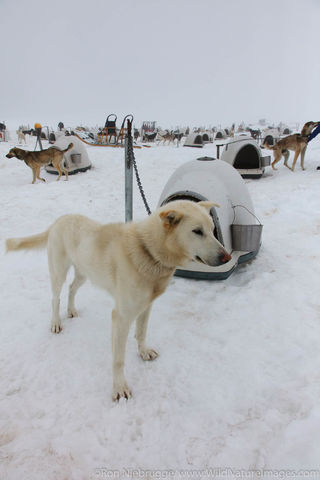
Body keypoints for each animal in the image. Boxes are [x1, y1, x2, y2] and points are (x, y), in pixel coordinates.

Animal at [6, 201, 231, 400]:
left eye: (213, 230)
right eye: (197, 231)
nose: (227, 258)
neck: (149, 252)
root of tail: (59, 220)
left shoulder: (146, 306)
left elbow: (141, 333)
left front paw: (143, 352)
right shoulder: (121, 317)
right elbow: (118, 360)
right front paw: (119, 388)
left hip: (84, 274)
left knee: (71, 289)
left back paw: (71, 310)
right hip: (58, 273)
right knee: (55, 297)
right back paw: (55, 323)